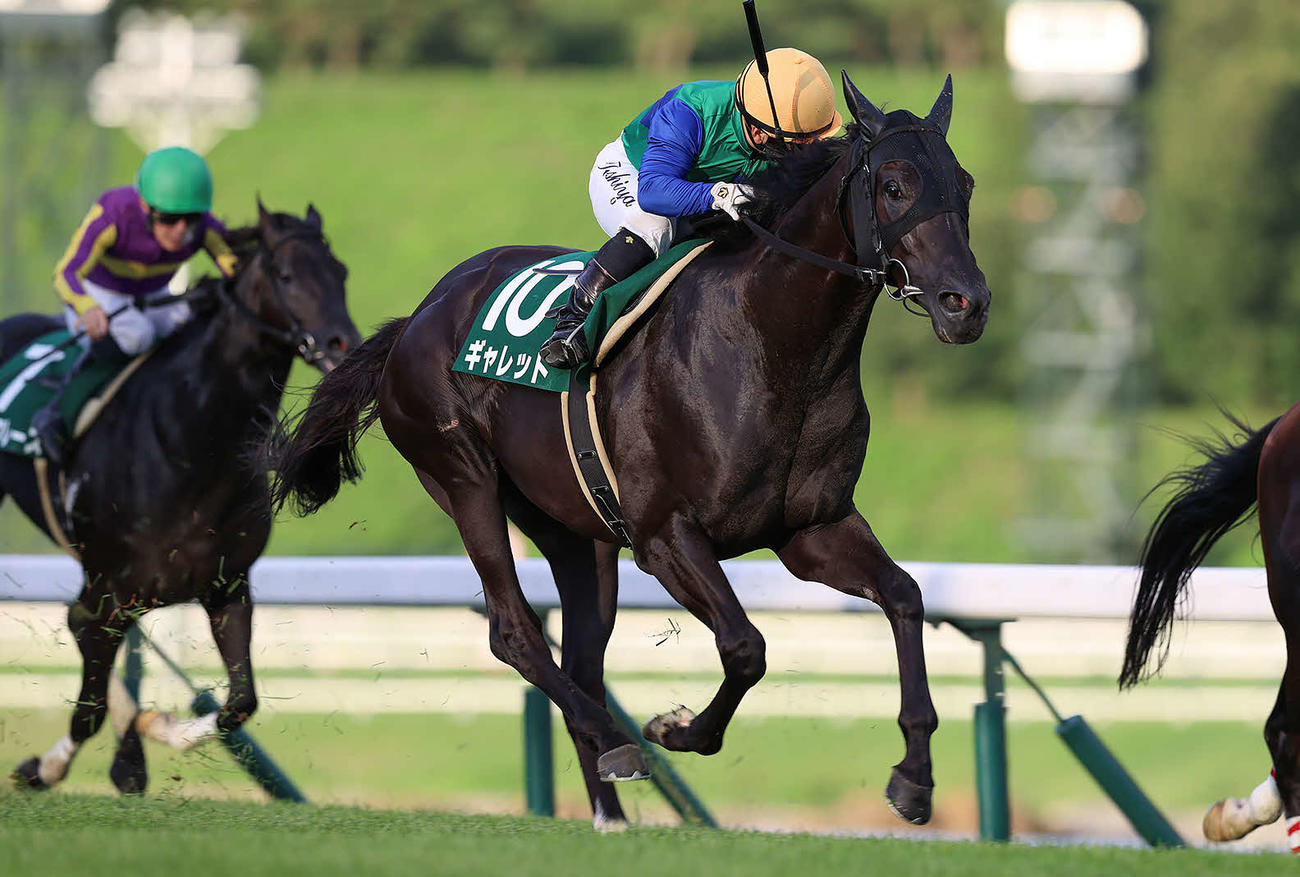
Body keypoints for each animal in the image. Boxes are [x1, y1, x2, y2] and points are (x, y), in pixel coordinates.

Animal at [6, 203, 360, 794]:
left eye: (341, 272)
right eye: (287, 275)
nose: (342, 346)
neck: (190, 446)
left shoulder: (226, 584)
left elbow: (240, 702)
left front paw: (161, 730)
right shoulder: (108, 588)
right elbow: (88, 701)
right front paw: (45, 767)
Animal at [270, 73, 990, 830]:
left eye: (965, 184)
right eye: (894, 185)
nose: (966, 303)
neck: (774, 344)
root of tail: (419, 315)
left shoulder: (810, 530)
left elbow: (904, 596)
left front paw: (914, 774)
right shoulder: (664, 534)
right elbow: (746, 646)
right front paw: (680, 730)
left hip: (574, 531)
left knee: (583, 658)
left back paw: (608, 808)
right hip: (463, 478)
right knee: (514, 631)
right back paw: (615, 741)